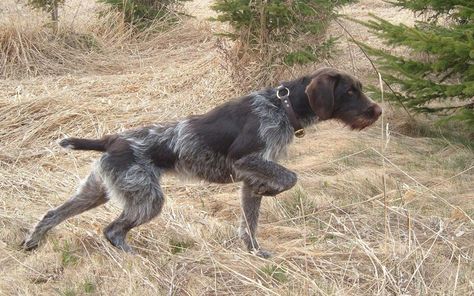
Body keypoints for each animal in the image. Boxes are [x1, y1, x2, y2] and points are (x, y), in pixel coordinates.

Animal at [24, 67, 384, 256]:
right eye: (350, 91)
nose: (377, 110)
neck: (282, 107)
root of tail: (112, 139)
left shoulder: (249, 179)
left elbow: (250, 223)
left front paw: (254, 251)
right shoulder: (245, 161)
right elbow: (289, 177)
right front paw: (273, 191)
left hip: (97, 191)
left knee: (52, 213)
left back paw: (32, 241)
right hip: (147, 198)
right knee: (112, 230)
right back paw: (131, 255)